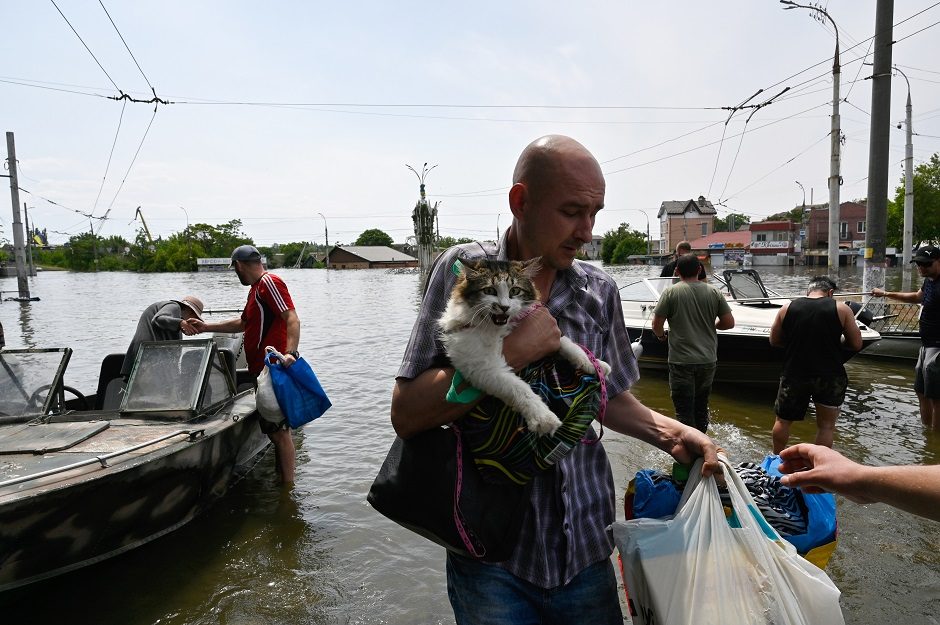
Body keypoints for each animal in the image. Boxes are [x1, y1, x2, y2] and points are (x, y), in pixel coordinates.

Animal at [438, 256, 612, 436]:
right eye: (489, 291)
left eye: (515, 291)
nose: (504, 307)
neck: (496, 327)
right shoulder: (481, 365)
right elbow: (519, 387)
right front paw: (543, 417)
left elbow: (568, 343)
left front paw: (594, 364)